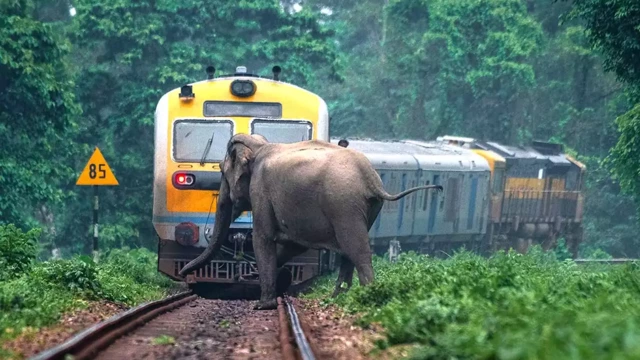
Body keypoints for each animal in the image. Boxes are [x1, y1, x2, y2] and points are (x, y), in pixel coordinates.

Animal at [178, 135, 442, 310]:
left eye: (222, 171)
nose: (182, 274)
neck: (260, 145)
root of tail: (371, 178)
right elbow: (292, 245)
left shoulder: (261, 189)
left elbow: (264, 238)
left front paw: (262, 305)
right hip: (369, 207)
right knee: (349, 251)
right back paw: (337, 297)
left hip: (343, 203)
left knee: (356, 249)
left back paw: (367, 297)